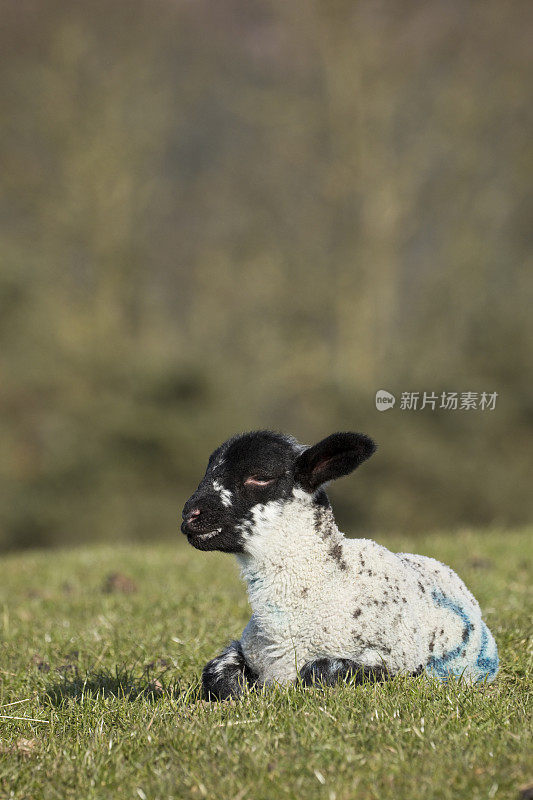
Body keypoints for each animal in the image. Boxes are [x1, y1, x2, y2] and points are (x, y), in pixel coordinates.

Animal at [180, 428, 498, 696]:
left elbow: (320, 671)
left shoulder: (394, 660)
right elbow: (215, 673)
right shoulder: (246, 648)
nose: (190, 515)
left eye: (260, 477)